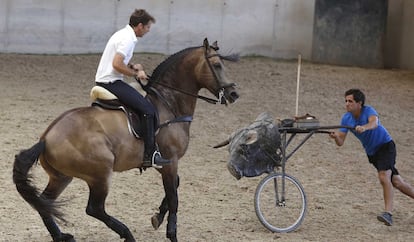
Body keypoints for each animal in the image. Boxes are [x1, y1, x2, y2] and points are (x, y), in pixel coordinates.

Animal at [12, 38, 239, 242]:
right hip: (100, 173)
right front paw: (172, 233)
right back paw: (126, 233)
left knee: (44, 202)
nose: (234, 93)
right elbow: (174, 197)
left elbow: (175, 185)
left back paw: (61, 236)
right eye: (217, 65)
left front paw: (157, 217)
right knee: (94, 209)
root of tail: (46, 137)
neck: (169, 103)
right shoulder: (170, 160)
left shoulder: (162, 163)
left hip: (62, 176)